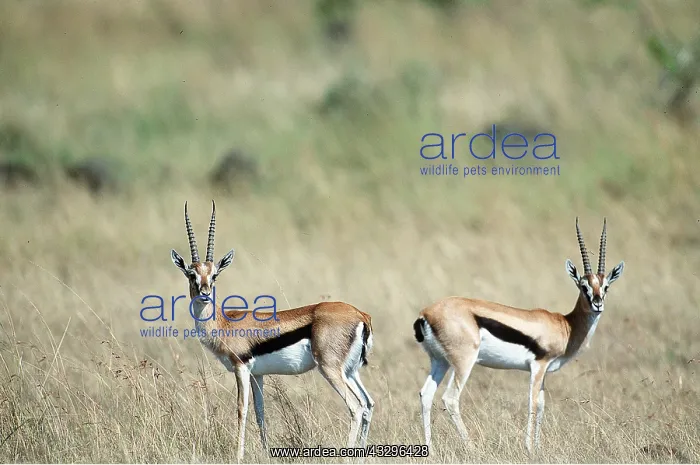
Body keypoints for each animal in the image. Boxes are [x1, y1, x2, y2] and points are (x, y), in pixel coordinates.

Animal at [170, 201, 375, 461]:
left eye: (214, 274)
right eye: (191, 273)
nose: (205, 293)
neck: (224, 323)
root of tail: (360, 314)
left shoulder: (241, 368)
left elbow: (241, 410)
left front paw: (239, 457)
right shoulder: (258, 374)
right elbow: (260, 412)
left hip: (330, 369)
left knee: (356, 407)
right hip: (350, 371)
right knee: (368, 404)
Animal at [413, 218, 625, 453]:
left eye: (606, 286)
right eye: (583, 286)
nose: (597, 304)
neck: (566, 325)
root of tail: (426, 313)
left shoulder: (545, 372)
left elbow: (541, 405)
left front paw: (538, 447)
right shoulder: (538, 366)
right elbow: (532, 403)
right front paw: (529, 448)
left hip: (439, 361)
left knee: (426, 394)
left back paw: (430, 450)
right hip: (463, 362)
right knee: (450, 398)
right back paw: (473, 448)